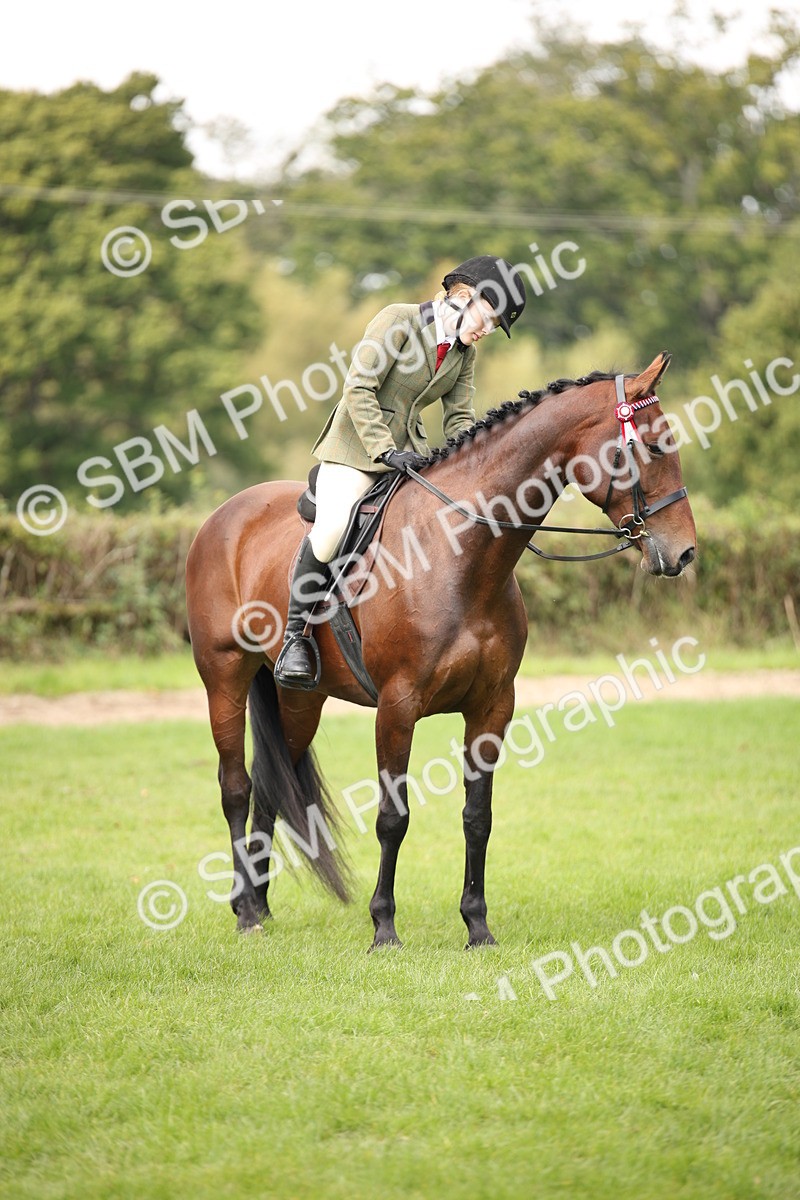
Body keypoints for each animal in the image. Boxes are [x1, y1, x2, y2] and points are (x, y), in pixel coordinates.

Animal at [185, 351, 696, 949]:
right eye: (655, 446)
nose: (684, 553)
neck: (460, 552)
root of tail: (225, 514)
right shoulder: (397, 706)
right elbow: (393, 817)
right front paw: (384, 927)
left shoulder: (492, 706)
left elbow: (478, 816)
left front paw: (477, 925)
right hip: (225, 678)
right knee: (236, 789)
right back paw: (245, 910)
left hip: (301, 699)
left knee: (272, 788)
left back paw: (261, 906)